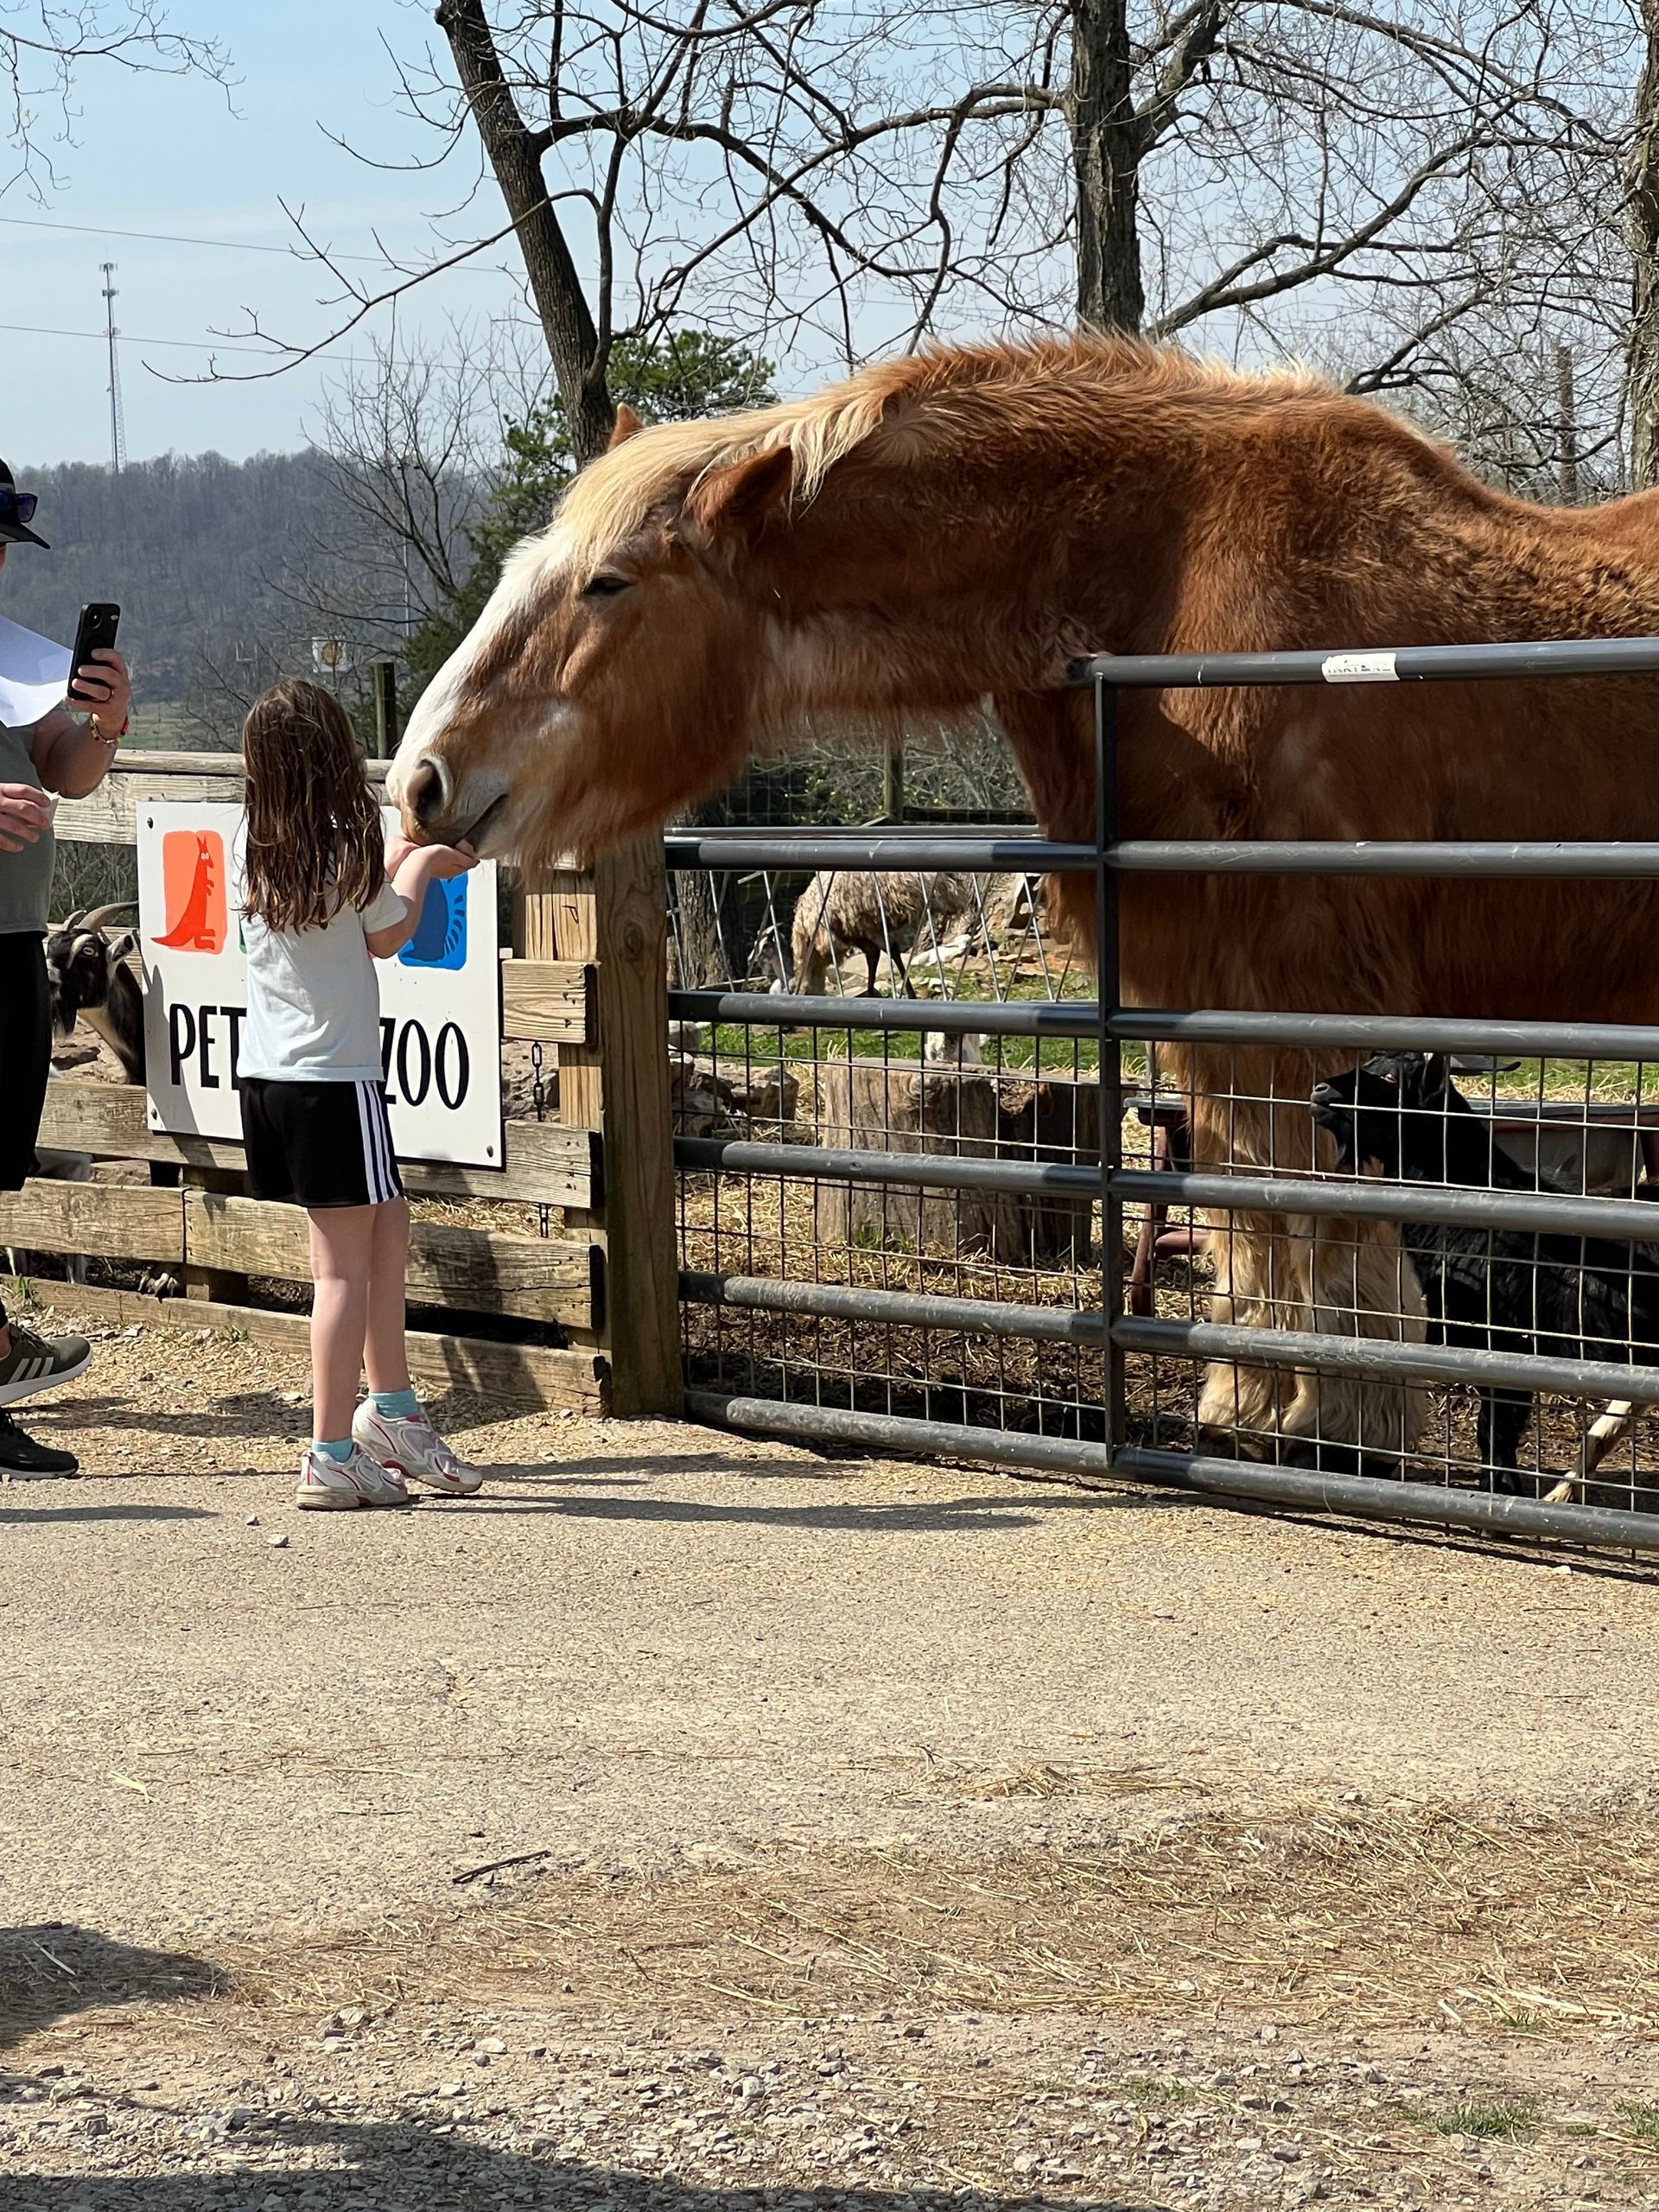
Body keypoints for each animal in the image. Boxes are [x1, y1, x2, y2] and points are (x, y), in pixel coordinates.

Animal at [388, 333, 1659, 1465]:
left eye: (607, 583)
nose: (422, 780)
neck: (1168, 585)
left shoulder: (1310, 1008)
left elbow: (1321, 1228)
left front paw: (1342, 1421)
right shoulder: (1208, 1007)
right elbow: (1251, 1218)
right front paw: (1258, 1408)